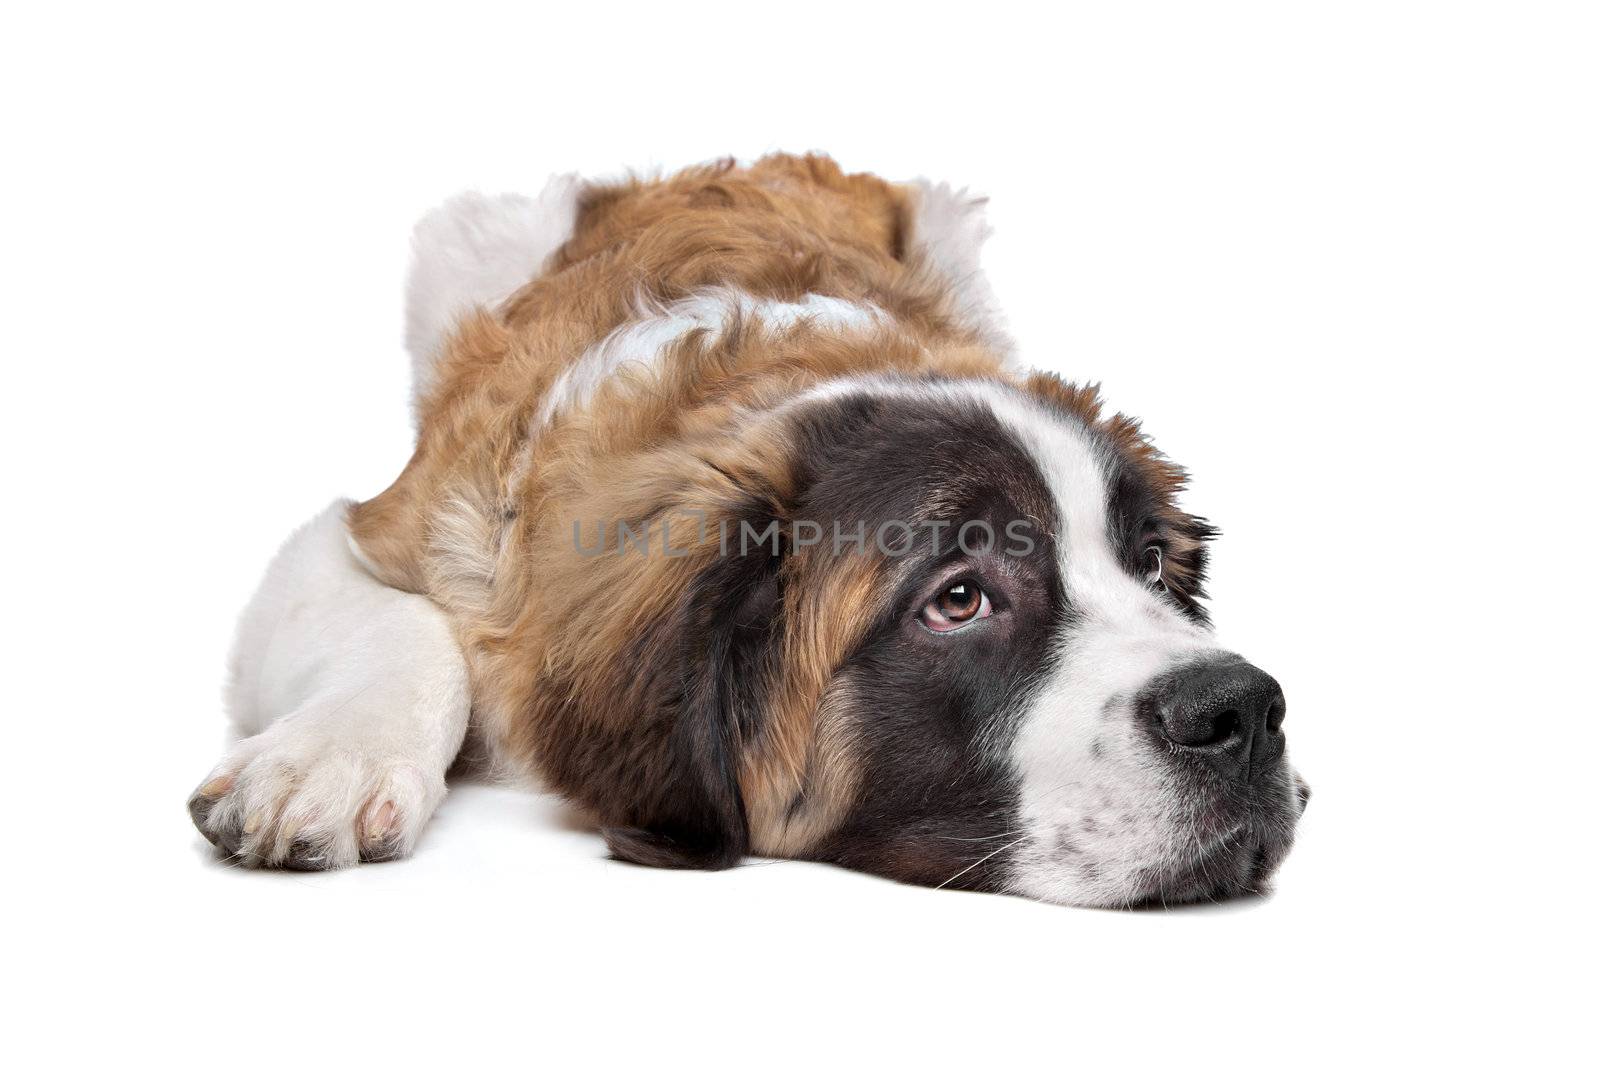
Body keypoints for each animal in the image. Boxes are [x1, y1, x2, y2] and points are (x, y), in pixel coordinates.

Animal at [190, 154, 1312, 908]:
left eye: (1153, 564)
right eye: (959, 597)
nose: (1245, 708)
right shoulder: (384, 529)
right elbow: (410, 629)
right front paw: (326, 761)